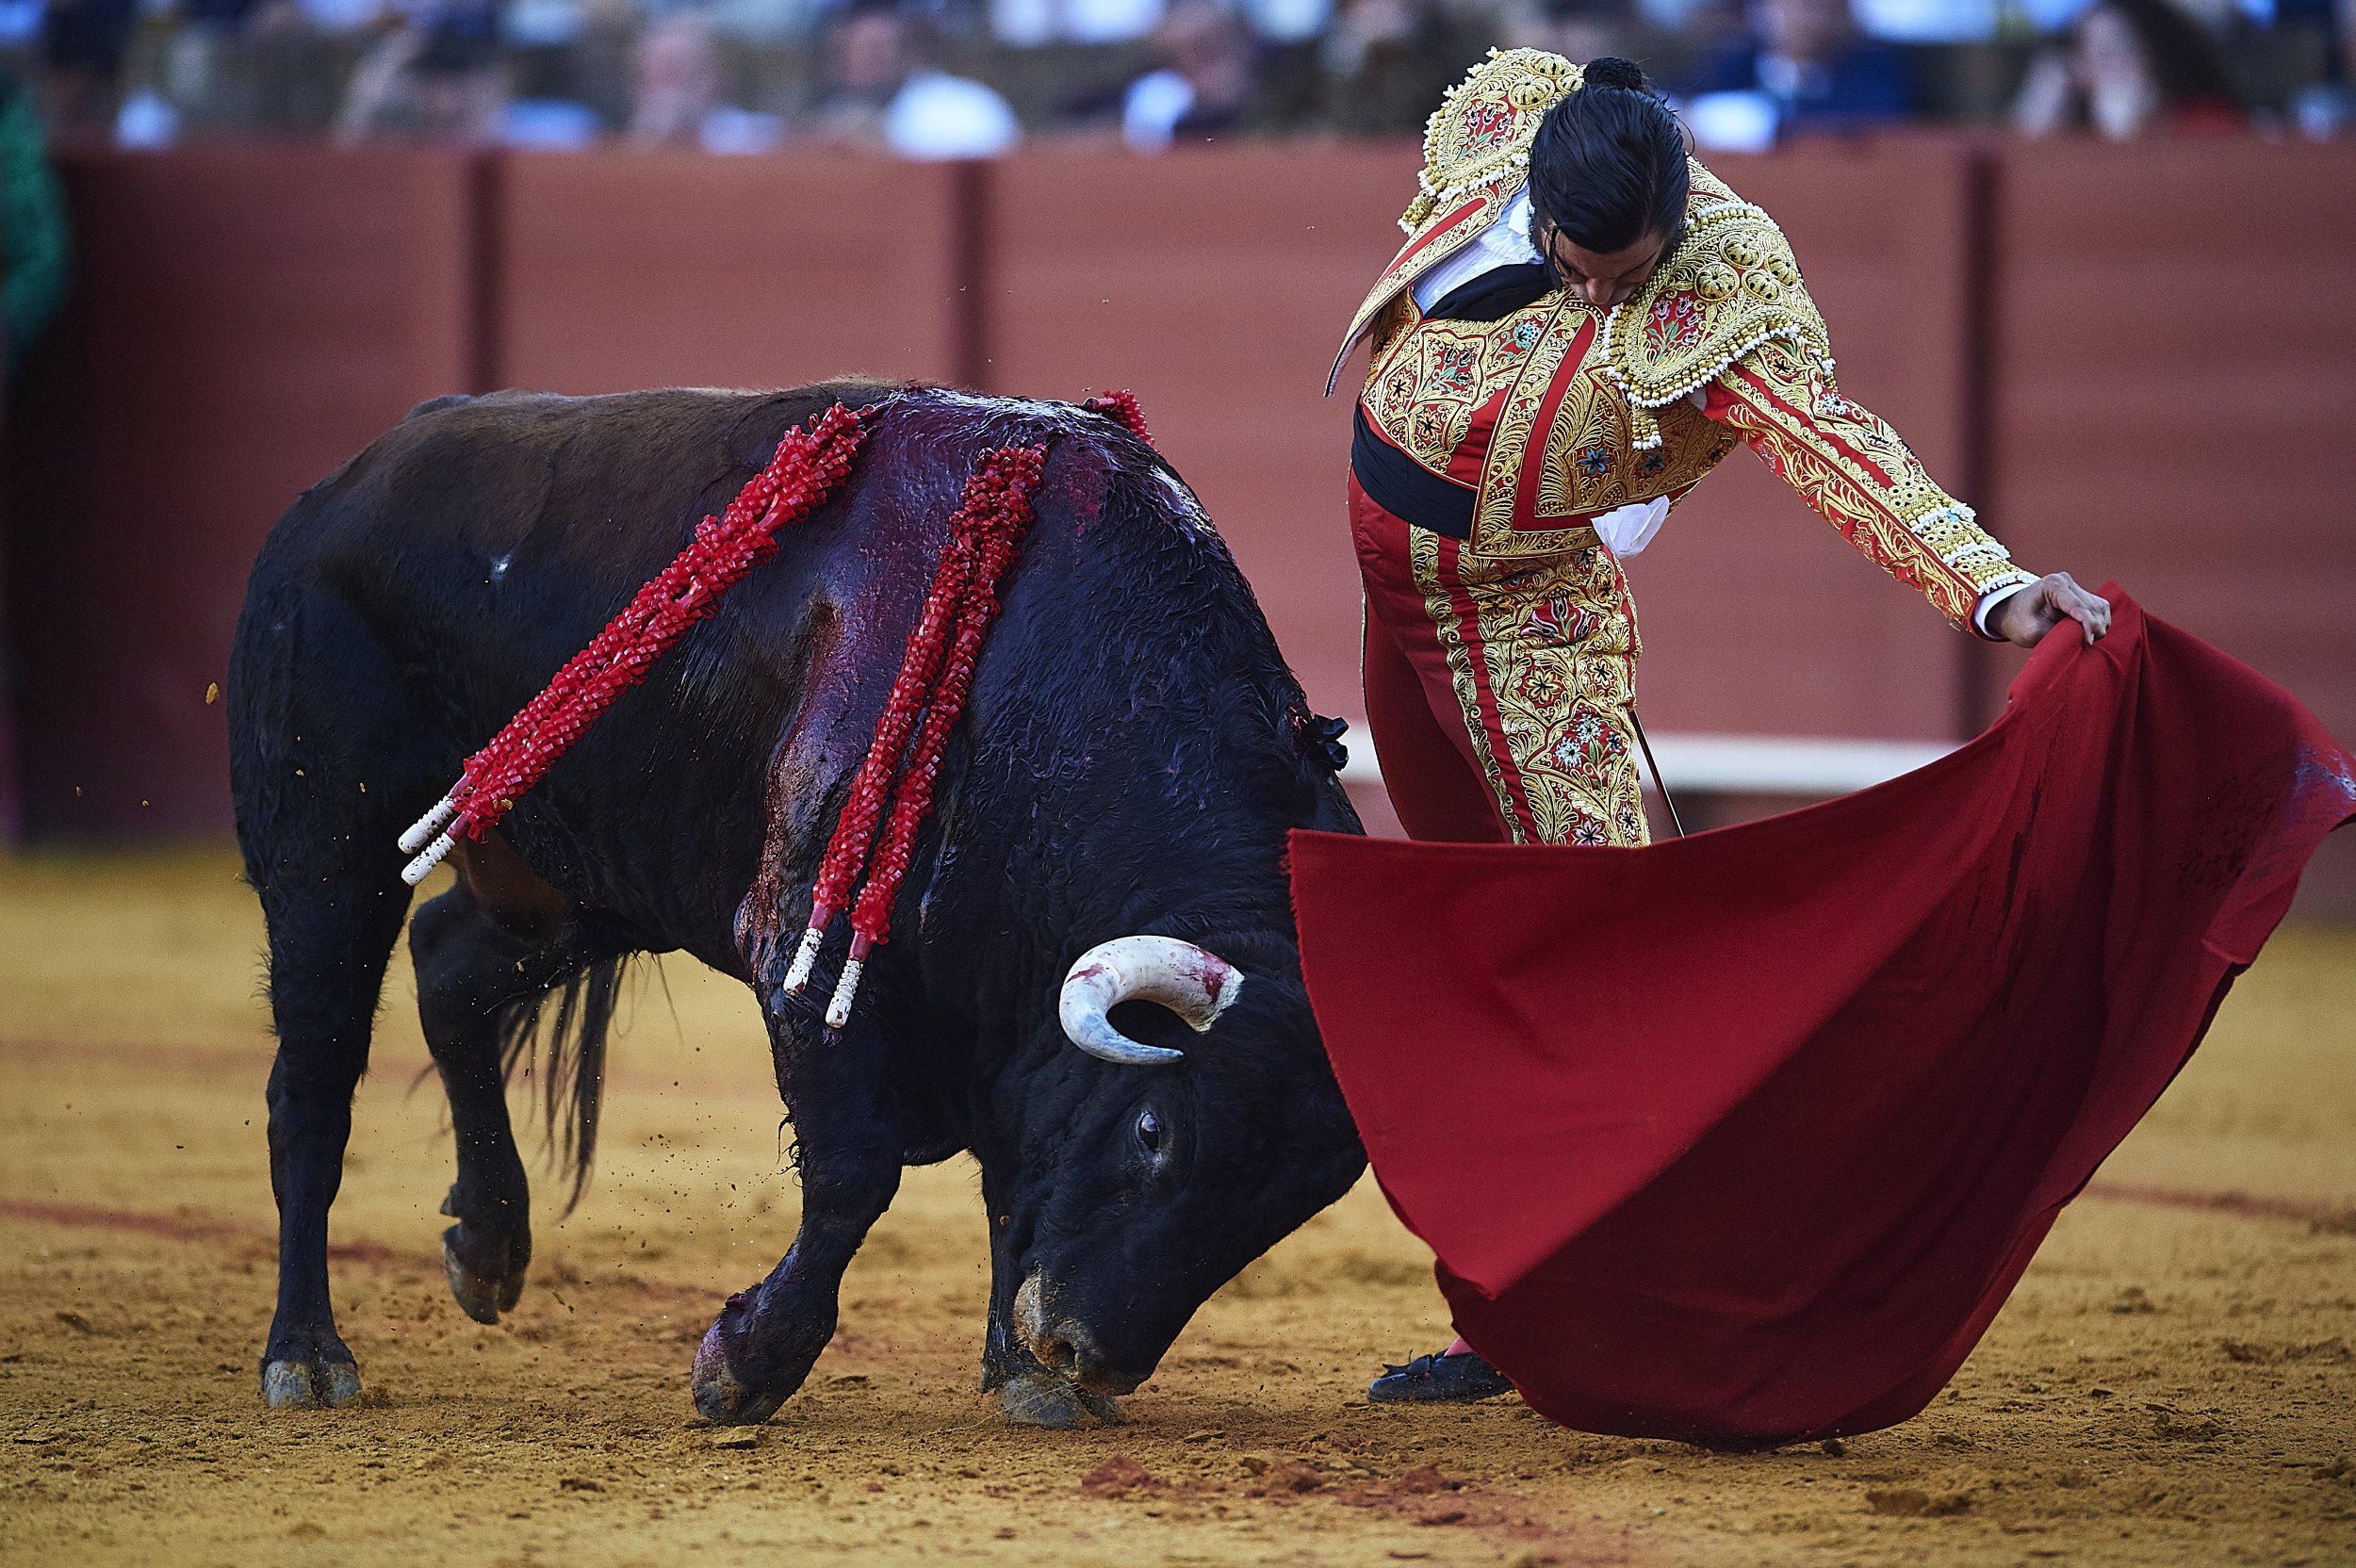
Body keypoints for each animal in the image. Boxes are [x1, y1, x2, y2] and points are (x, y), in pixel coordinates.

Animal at [229, 379, 1376, 1413]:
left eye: (1291, 1203)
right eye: (1154, 1134)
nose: (1085, 1354)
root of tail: (338, 488)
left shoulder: (999, 1005)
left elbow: (1015, 1178)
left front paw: (1018, 1376)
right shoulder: (802, 948)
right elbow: (856, 1172)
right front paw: (744, 1365)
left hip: (567, 885)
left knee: (446, 970)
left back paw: (488, 1248)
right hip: (325, 853)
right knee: (313, 1086)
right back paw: (307, 1357)